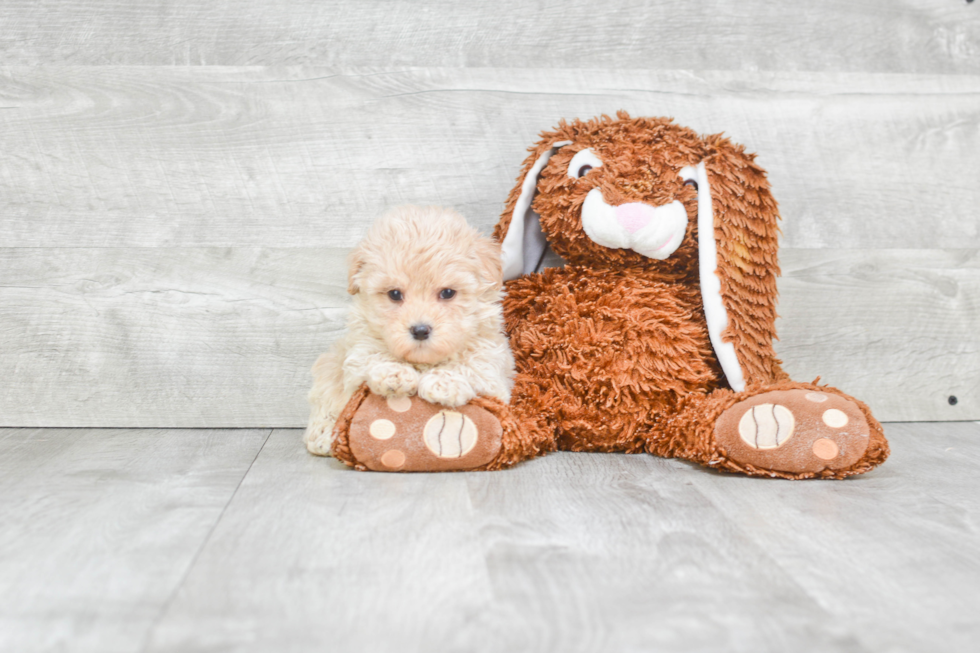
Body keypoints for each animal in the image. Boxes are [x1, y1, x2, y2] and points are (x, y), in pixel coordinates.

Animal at [302, 204, 516, 454]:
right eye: (394, 294)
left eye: (448, 293)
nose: (420, 330)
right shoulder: (358, 351)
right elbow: (372, 356)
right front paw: (394, 373)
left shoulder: (494, 368)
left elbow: (473, 365)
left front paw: (445, 382)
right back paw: (324, 435)